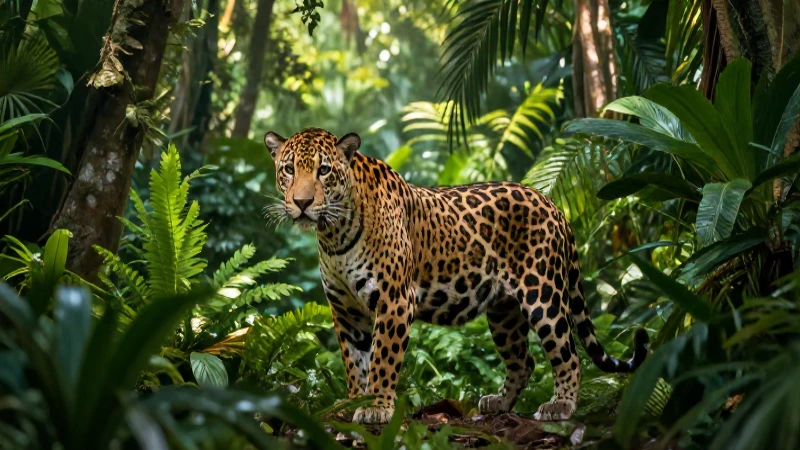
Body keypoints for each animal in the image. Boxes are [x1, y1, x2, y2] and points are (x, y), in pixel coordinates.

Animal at [263, 127, 649, 424]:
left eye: (325, 170)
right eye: (288, 169)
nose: (301, 202)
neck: (334, 233)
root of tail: (552, 204)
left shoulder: (394, 301)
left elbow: (383, 360)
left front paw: (377, 407)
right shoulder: (345, 310)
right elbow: (354, 362)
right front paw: (354, 402)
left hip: (543, 295)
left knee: (568, 354)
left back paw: (561, 406)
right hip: (503, 312)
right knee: (523, 361)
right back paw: (498, 403)